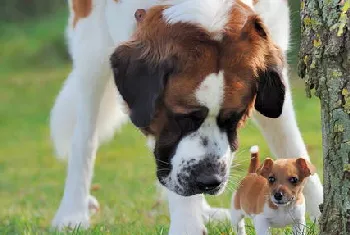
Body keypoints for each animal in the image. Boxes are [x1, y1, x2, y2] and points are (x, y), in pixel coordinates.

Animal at [49, 0, 322, 233]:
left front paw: (317, 206)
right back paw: (72, 212)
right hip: (91, 49)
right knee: (84, 136)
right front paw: (188, 225)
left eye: (234, 118)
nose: (209, 181)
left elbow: (289, 141)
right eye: (182, 118)